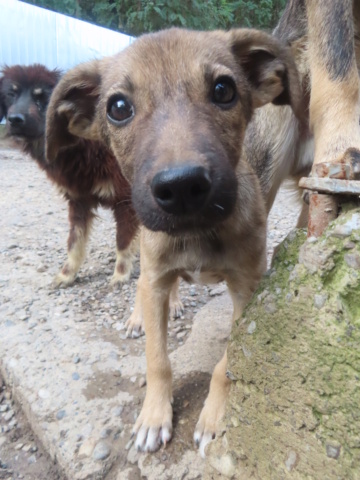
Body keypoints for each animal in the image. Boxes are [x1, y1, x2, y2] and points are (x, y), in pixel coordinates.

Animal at [45, 27, 302, 454]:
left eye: (223, 89)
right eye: (118, 107)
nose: (181, 186)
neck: (198, 233)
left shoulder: (246, 291)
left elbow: (226, 363)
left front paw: (213, 417)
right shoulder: (156, 272)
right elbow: (157, 359)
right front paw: (153, 416)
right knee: (145, 285)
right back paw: (140, 316)